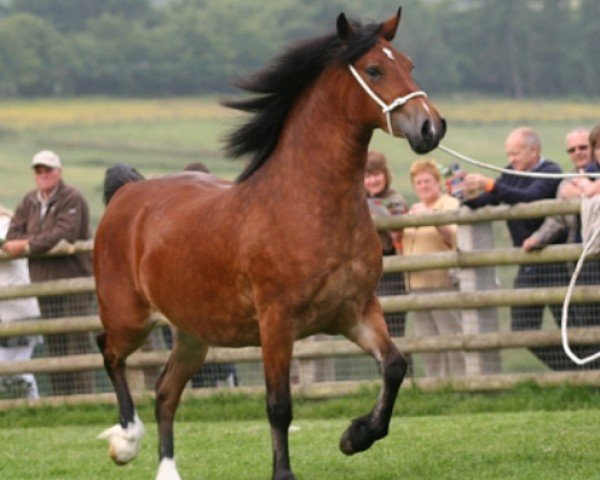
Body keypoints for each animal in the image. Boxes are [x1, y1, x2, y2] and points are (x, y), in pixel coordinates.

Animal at [95, 8, 446, 480]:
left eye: (408, 63)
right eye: (374, 69)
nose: (431, 127)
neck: (306, 205)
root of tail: (127, 193)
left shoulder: (355, 311)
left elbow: (394, 366)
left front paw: (355, 436)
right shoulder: (277, 323)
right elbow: (279, 405)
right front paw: (285, 472)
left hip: (192, 334)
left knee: (166, 391)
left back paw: (167, 470)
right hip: (129, 318)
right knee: (110, 353)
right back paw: (126, 441)